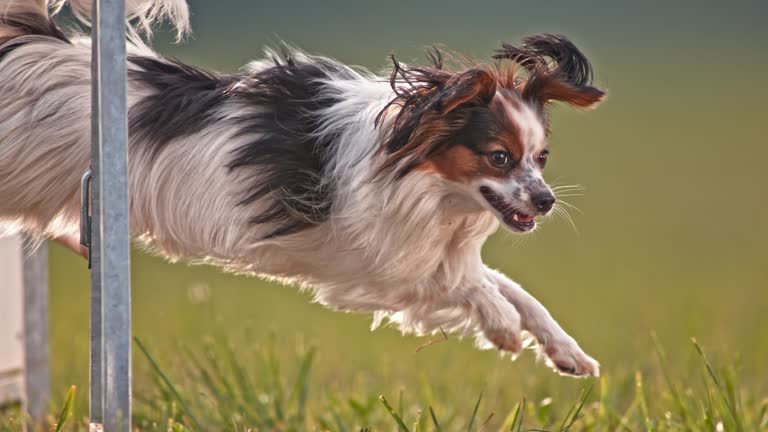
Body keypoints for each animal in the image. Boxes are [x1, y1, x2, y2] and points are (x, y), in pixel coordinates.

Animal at [0, 0, 608, 376]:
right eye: (498, 157)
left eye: (542, 158)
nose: (546, 201)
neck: (422, 180)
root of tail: (35, 49)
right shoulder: (379, 270)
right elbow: (481, 289)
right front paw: (503, 328)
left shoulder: (423, 261)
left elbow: (515, 291)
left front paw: (567, 353)